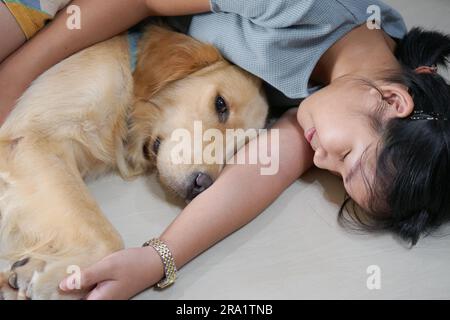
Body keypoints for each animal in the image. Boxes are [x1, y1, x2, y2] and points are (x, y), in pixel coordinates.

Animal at [0, 23, 268, 300]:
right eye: (220, 104)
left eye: (239, 149)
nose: (202, 185)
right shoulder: (34, 139)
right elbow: (109, 238)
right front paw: (56, 281)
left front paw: (35, 268)